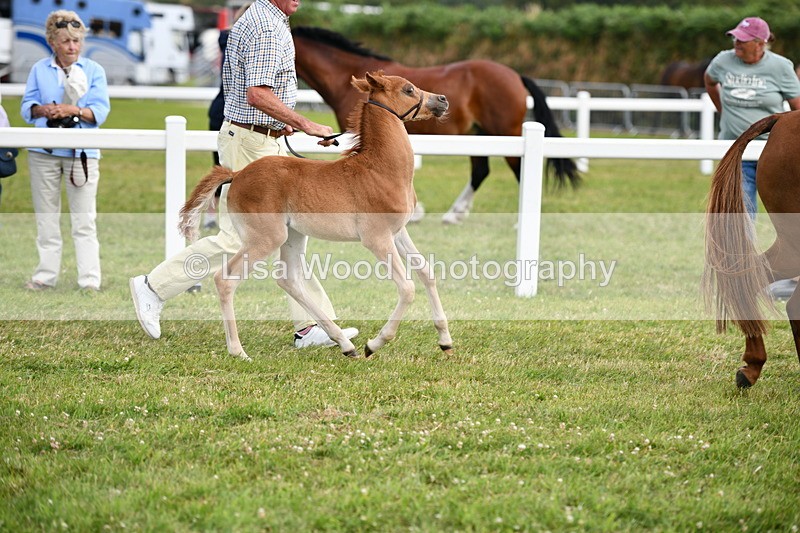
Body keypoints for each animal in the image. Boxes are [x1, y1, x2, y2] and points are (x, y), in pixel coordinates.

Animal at [178, 72, 452, 360]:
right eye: (408, 90)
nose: (442, 100)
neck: (380, 169)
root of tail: (238, 174)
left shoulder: (398, 232)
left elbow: (426, 273)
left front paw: (445, 340)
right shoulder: (377, 238)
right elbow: (407, 288)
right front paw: (375, 343)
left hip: (293, 235)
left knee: (288, 280)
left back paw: (344, 343)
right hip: (266, 237)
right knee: (225, 279)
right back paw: (238, 351)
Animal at [292, 26, 580, 225]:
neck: (345, 78)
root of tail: (516, 75)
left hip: (505, 134)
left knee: (519, 170)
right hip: (477, 135)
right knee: (480, 171)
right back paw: (455, 214)